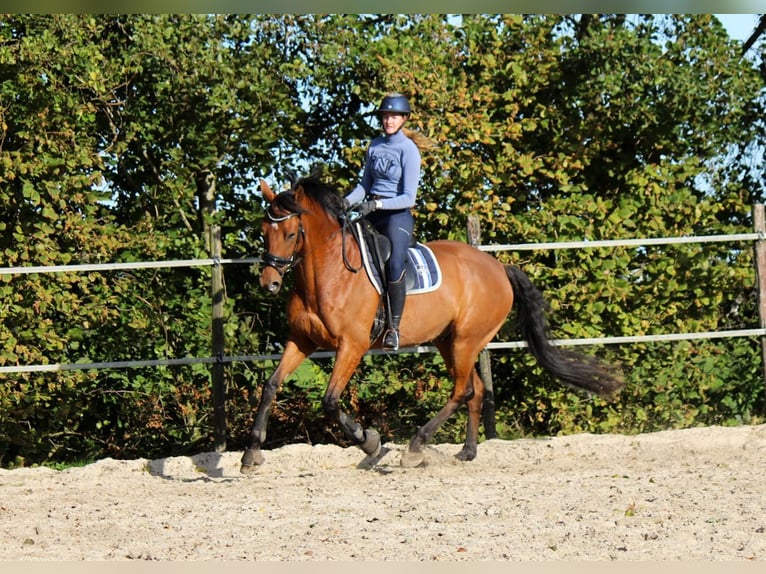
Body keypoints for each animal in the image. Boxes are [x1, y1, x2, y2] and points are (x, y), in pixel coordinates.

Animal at [240, 176, 624, 474]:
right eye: (264, 231)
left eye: (291, 233)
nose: (269, 283)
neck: (330, 273)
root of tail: (498, 267)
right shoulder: (301, 340)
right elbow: (271, 386)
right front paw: (251, 454)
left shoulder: (353, 345)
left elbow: (331, 401)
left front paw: (371, 443)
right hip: (449, 341)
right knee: (476, 389)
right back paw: (467, 452)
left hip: (467, 340)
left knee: (462, 391)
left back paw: (415, 447)